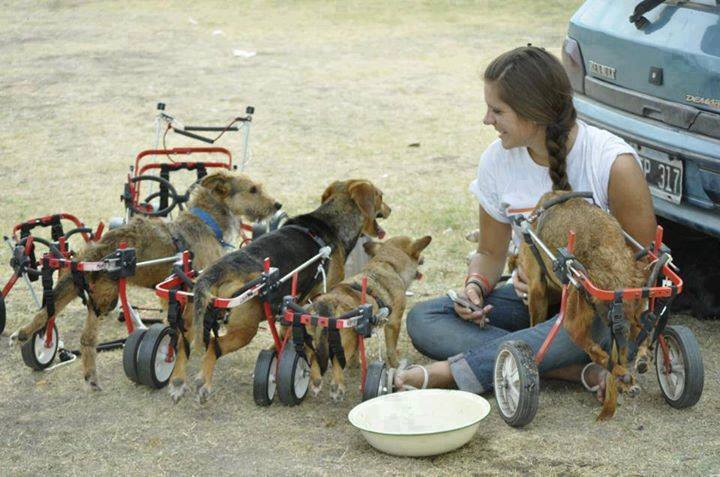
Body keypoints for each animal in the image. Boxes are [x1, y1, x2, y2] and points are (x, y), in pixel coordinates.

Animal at [11, 169, 282, 388]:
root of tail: (96, 251)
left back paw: (87, 376)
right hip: (106, 299)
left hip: (96, 300)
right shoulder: (195, 288)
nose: (278, 205)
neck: (205, 222)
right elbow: (190, 325)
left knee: (80, 335)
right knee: (84, 335)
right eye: (253, 189)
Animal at [168, 178, 390, 402]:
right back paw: (203, 383)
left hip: (193, 319)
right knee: (214, 345)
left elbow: (287, 334)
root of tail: (216, 271)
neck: (332, 222)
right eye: (380, 195)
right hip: (244, 330)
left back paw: (177, 382)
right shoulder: (318, 296)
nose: (389, 209)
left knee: (182, 343)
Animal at [306, 234, 430, 402]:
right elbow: (391, 350)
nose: (424, 258)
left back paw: (316, 382)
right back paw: (337, 389)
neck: (387, 263)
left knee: (314, 360)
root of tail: (326, 306)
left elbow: (357, 353)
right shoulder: (394, 323)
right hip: (345, 344)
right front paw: (396, 365)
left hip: (312, 345)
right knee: (337, 367)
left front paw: (355, 365)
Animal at [516, 191, 648, 420]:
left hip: (572, 319)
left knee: (593, 349)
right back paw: (632, 369)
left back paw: (621, 374)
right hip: (633, 317)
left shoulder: (536, 288)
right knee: (635, 342)